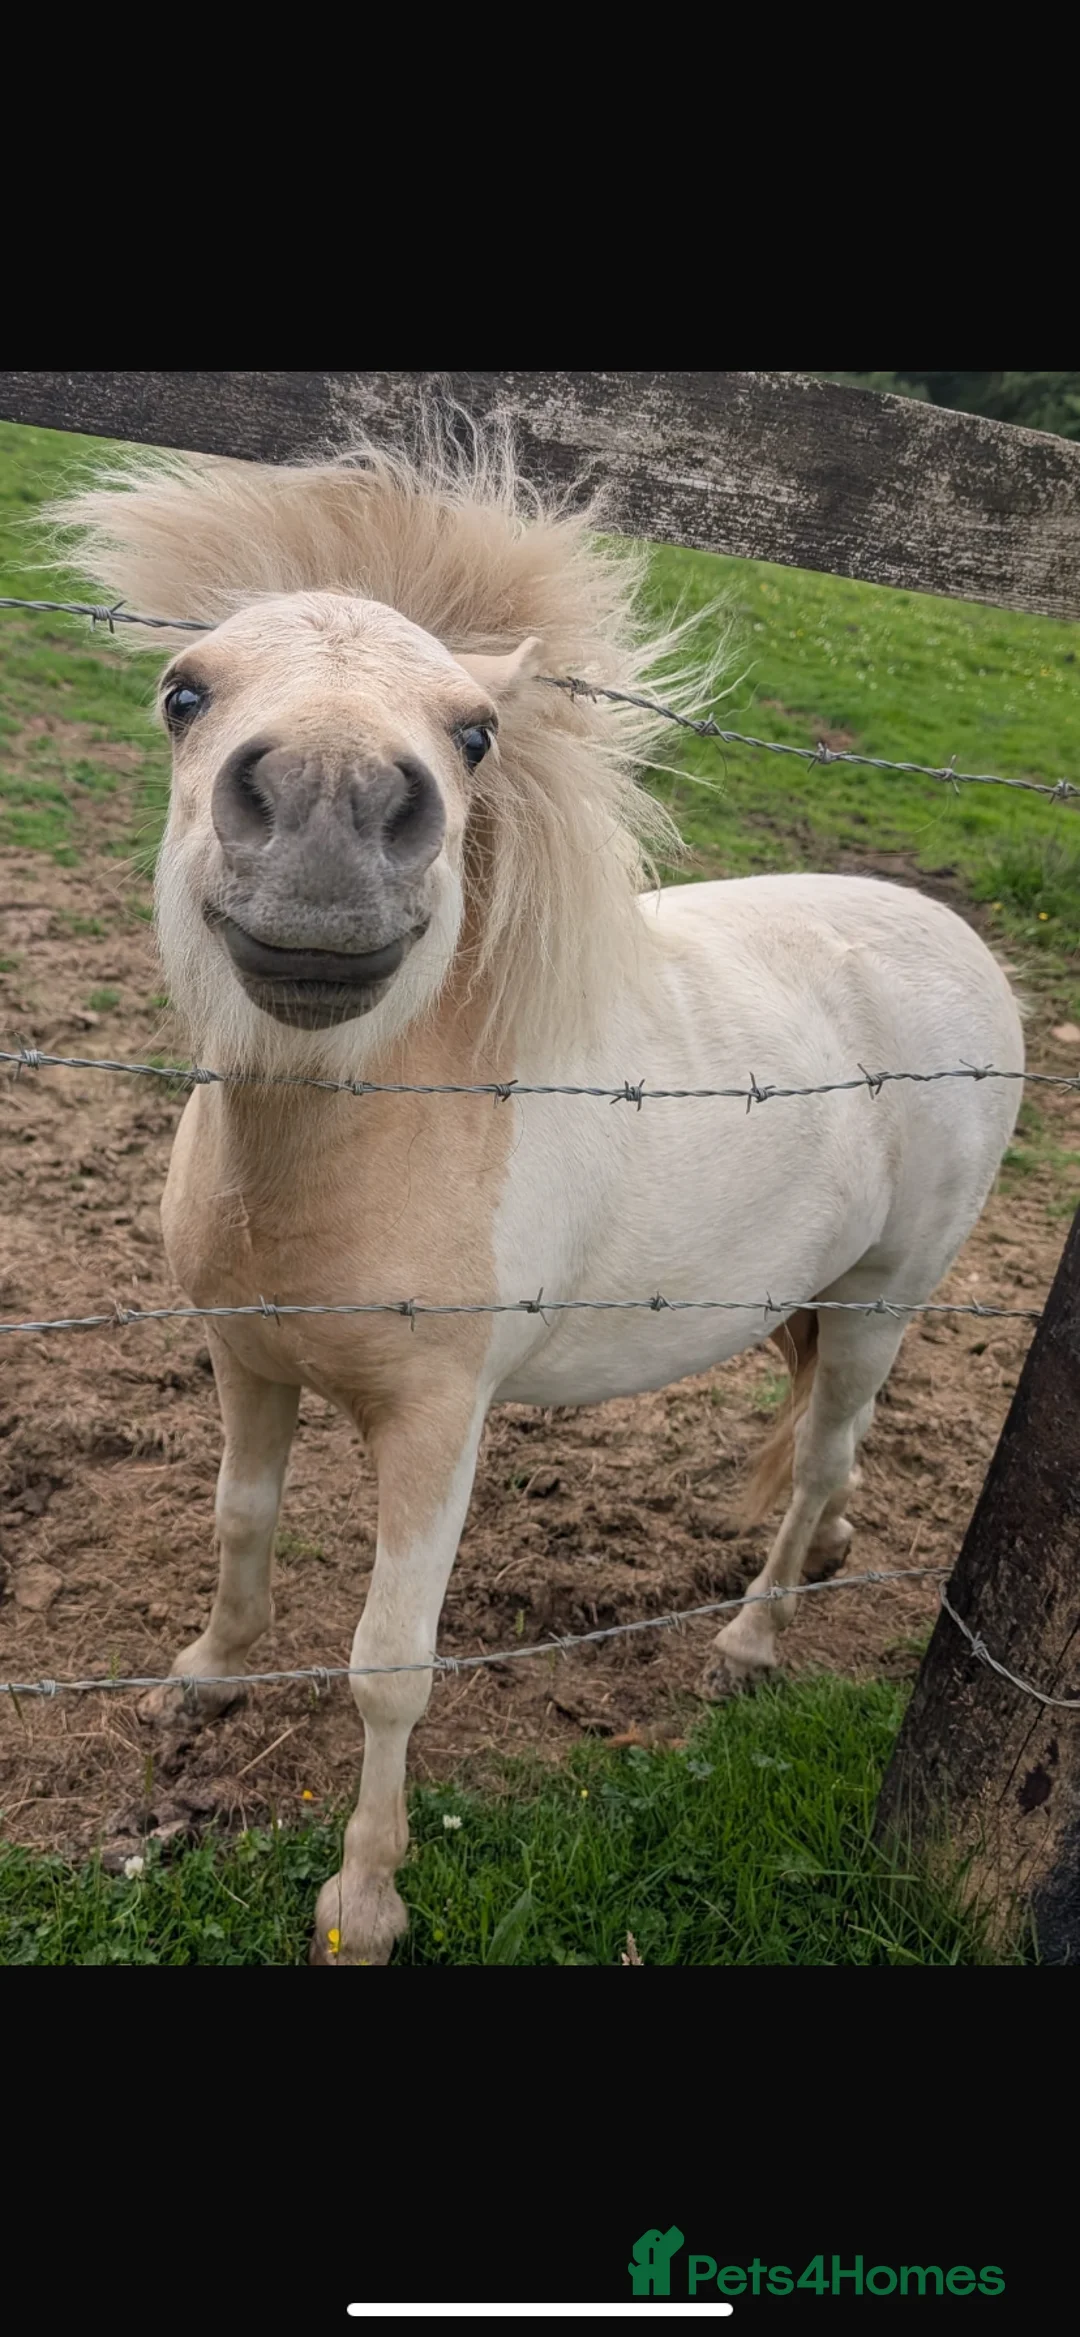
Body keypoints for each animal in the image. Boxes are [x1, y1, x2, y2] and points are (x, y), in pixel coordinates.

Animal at [49, 416, 1023, 1965]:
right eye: (181, 692)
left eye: (473, 733)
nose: (330, 812)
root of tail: (959, 943)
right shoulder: (246, 1359)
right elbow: (239, 1523)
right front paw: (202, 1678)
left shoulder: (438, 1422)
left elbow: (390, 1664)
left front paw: (366, 1897)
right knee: (831, 1452)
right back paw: (826, 1556)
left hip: (889, 1299)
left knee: (820, 1454)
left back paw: (752, 1640)